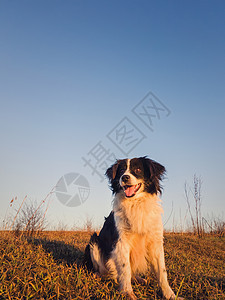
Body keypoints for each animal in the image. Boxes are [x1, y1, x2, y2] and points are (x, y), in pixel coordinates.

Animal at [84, 157, 178, 300]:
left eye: (138, 169)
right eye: (122, 170)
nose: (125, 177)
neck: (135, 204)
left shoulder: (155, 242)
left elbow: (162, 271)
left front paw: (170, 294)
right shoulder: (121, 242)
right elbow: (125, 268)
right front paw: (127, 292)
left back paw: (138, 279)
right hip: (93, 241)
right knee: (103, 270)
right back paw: (98, 275)